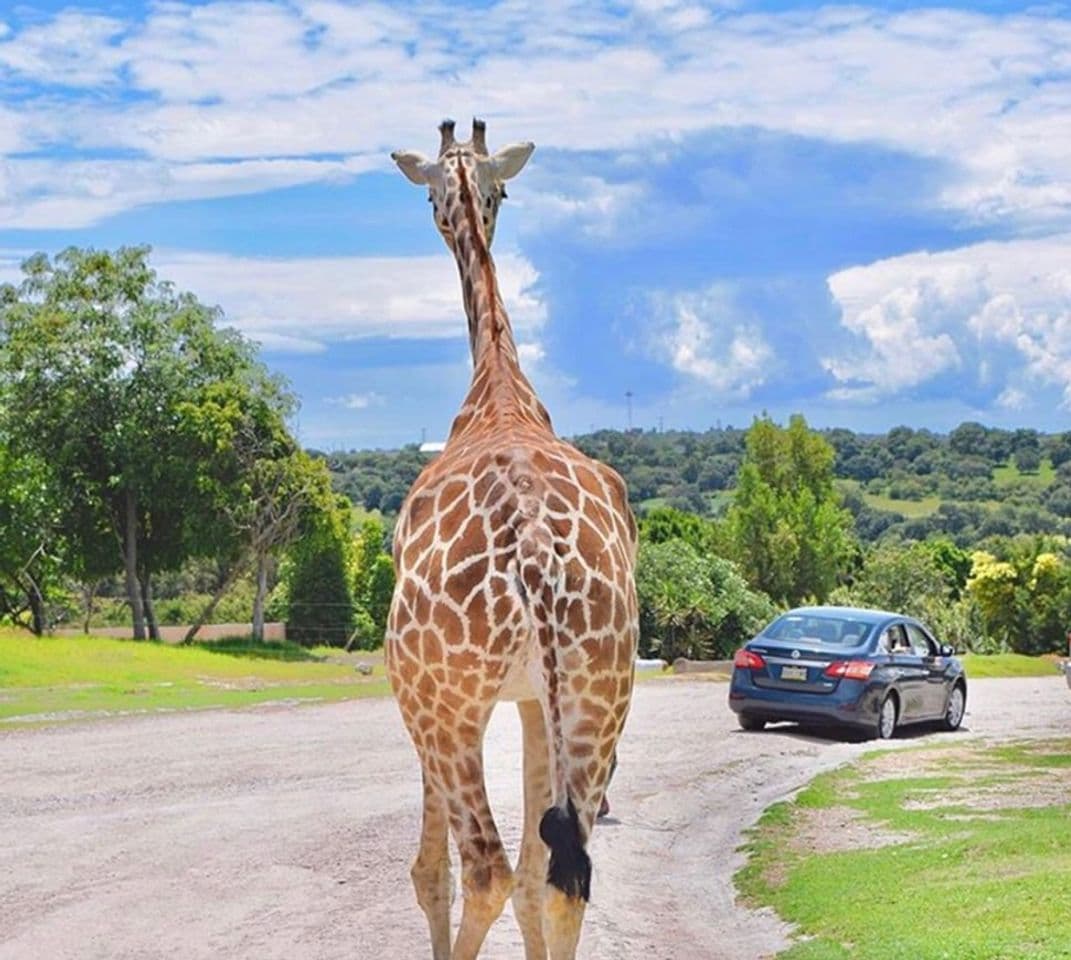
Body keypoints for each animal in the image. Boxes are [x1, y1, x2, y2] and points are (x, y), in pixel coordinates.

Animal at [385, 122, 634, 960]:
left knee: (486, 868)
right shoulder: (532, 700)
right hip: (598, 695)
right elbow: (538, 876)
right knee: (560, 876)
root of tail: (531, 548)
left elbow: (431, 870)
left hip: (442, 700)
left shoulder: (437, 699)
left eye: (431, 194)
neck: (497, 387)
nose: (458, 215)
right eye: (491, 188)